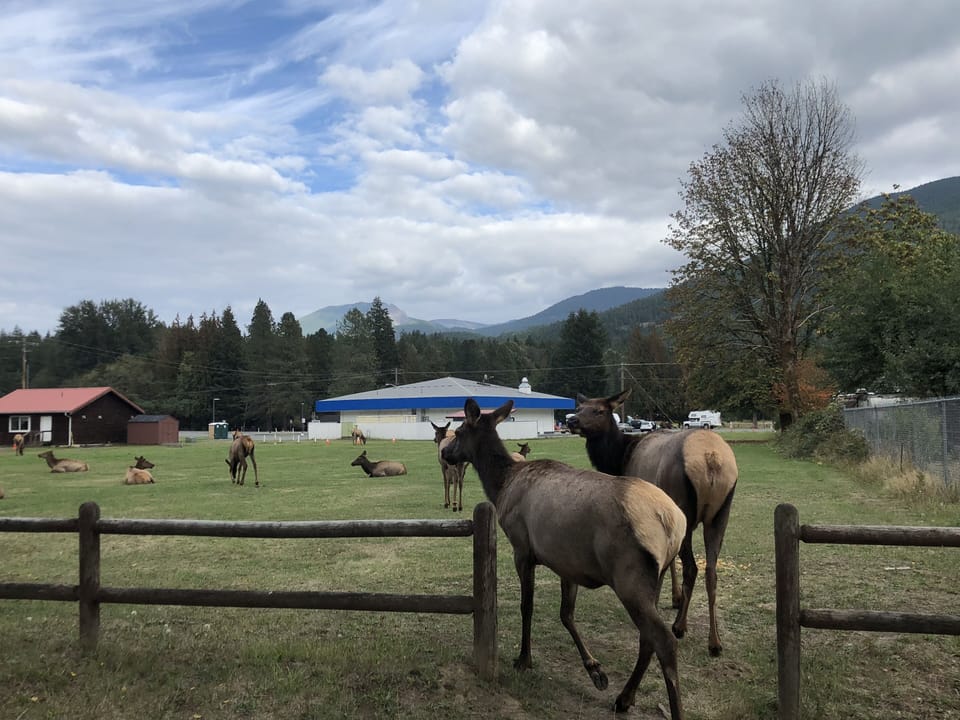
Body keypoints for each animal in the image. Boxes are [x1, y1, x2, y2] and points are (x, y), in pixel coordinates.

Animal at [442, 398, 686, 717]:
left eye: (458, 432)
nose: (444, 452)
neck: (502, 486)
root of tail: (673, 522)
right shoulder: (567, 563)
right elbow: (566, 614)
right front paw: (595, 670)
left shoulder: (522, 548)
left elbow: (527, 606)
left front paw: (524, 659)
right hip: (657, 575)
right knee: (647, 638)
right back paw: (625, 697)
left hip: (629, 577)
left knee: (664, 640)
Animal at [567, 389, 738, 656]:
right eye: (579, 407)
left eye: (600, 410)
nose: (572, 421)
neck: (620, 459)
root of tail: (711, 459)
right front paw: (675, 597)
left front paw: (666, 600)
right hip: (721, 513)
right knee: (711, 571)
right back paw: (715, 641)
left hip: (684, 507)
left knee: (692, 567)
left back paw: (680, 626)